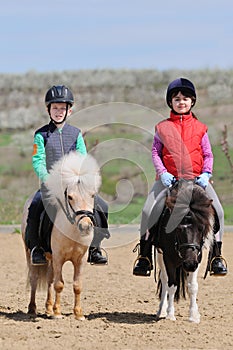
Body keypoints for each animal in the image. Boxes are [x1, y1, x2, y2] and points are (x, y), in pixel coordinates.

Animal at [21, 152, 101, 318]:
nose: (85, 226)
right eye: (70, 197)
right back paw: (32, 308)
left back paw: (48, 308)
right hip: (30, 253)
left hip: (50, 258)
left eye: (92, 195)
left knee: (49, 279)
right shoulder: (58, 257)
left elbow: (77, 285)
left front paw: (78, 314)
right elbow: (59, 284)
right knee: (34, 278)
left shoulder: (80, 259)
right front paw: (57, 313)